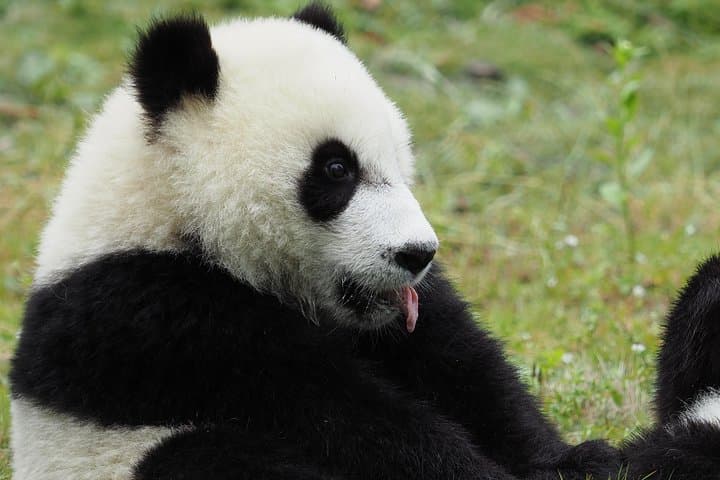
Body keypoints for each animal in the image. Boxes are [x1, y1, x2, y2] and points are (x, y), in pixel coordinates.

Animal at [9, 3, 720, 479]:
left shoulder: (408, 318)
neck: (169, 215)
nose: (417, 254)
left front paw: (577, 459)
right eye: (336, 170)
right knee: (203, 459)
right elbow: (335, 416)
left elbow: (468, 371)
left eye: (401, 162)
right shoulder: (151, 314)